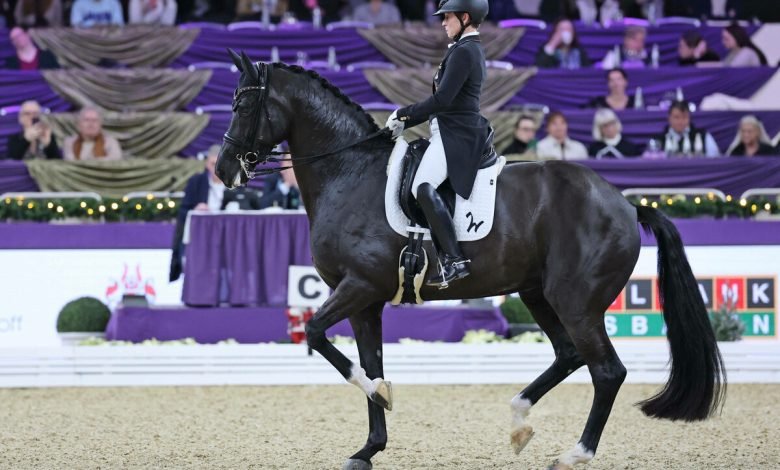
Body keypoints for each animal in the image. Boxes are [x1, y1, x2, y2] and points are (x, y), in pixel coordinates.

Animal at [215, 51, 725, 470]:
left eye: (242, 106)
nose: (223, 170)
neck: (349, 171)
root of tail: (625, 204)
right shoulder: (365, 302)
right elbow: (368, 361)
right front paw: (368, 447)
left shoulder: (359, 286)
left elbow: (317, 335)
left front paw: (380, 396)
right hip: (537, 293)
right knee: (569, 355)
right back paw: (519, 422)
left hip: (576, 301)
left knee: (607, 371)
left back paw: (574, 454)